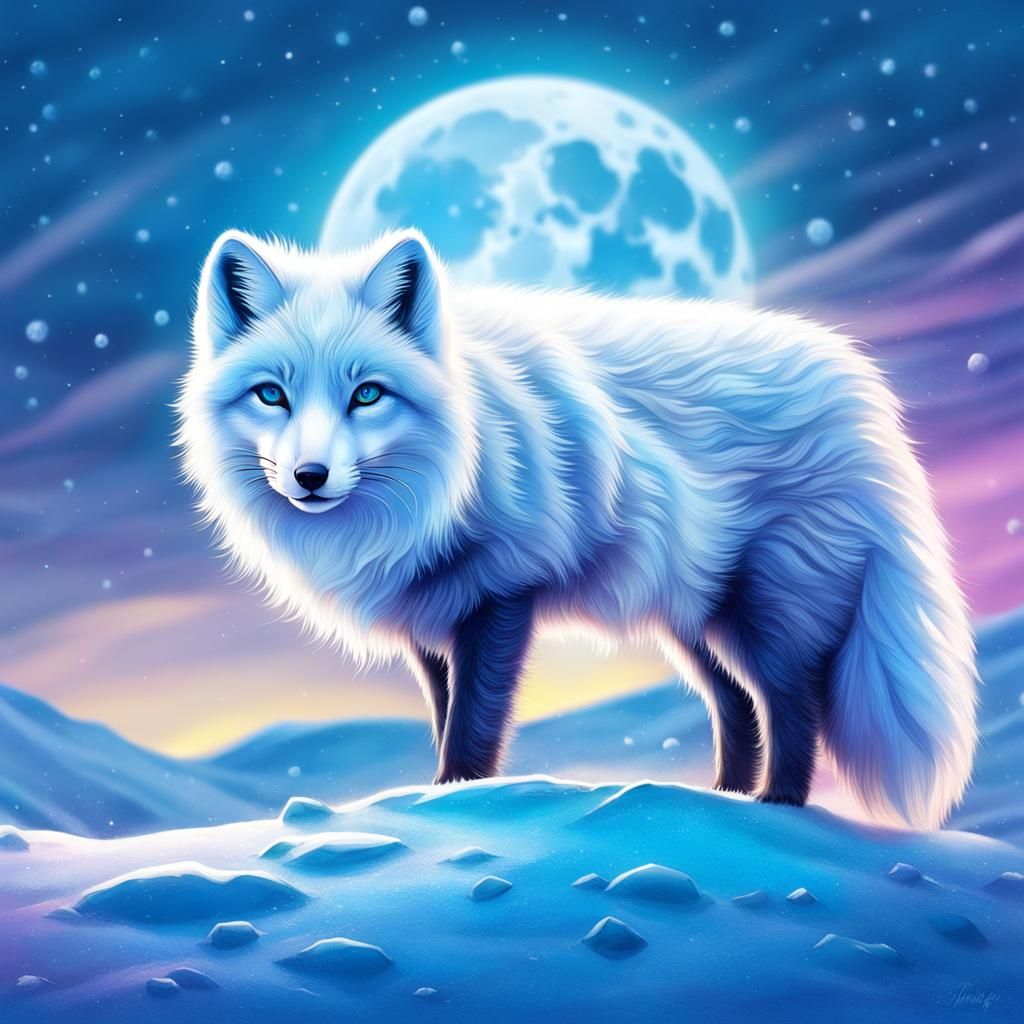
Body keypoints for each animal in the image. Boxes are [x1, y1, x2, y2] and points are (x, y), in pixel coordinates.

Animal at [176, 227, 977, 829]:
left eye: (367, 394)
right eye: (271, 395)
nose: (310, 476)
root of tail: (857, 383)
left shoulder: (500, 595)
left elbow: (472, 732)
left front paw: (456, 807)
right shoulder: (429, 623)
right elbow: (442, 717)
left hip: (766, 614)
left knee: (792, 710)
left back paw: (775, 808)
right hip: (696, 623)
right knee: (739, 709)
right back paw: (722, 802)